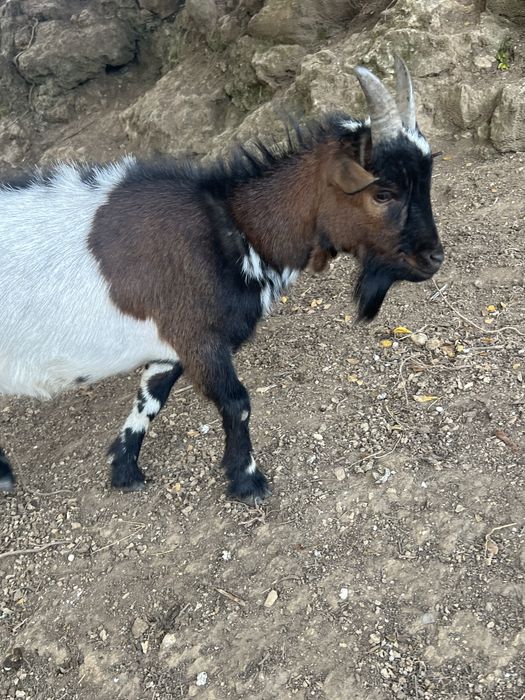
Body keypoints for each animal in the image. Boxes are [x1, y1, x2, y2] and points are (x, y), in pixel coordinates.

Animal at [0, 57, 443, 503]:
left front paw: (125, 469)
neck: (231, 229)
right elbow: (238, 403)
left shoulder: (171, 346)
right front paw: (247, 480)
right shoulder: (201, 341)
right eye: (383, 193)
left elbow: (150, 400)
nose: (434, 258)